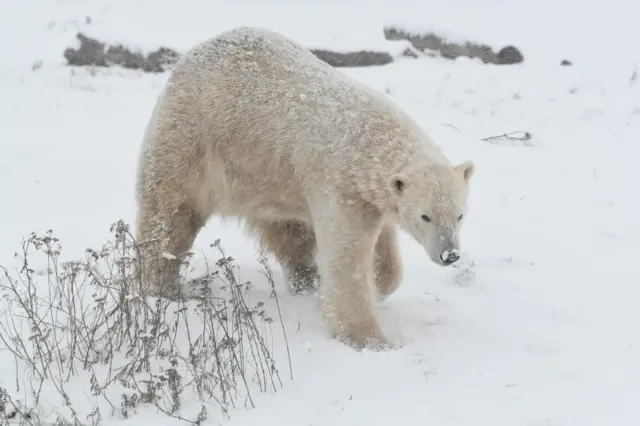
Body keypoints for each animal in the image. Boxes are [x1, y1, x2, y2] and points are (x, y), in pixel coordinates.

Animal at [135, 27, 476, 352]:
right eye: (425, 217)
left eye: (460, 215)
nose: (450, 254)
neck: (368, 139)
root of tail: (193, 56)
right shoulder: (339, 185)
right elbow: (346, 259)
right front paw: (370, 339)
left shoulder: (368, 195)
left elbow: (383, 245)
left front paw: (380, 283)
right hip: (192, 141)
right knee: (170, 215)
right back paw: (162, 286)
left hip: (267, 177)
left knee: (288, 233)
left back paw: (305, 282)